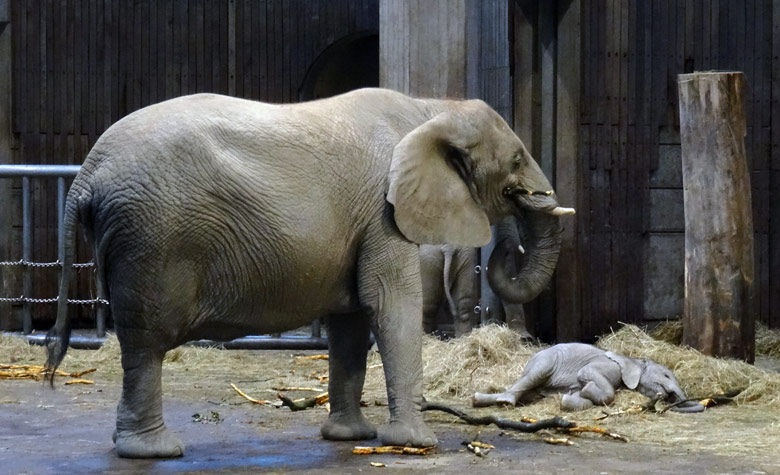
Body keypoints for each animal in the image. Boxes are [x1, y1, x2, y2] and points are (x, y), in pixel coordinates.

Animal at [44, 87, 572, 460]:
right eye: (517, 159)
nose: (509, 243)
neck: (432, 108)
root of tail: (84, 177)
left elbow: (352, 322)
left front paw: (348, 436)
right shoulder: (384, 214)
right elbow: (390, 306)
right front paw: (418, 444)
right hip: (150, 241)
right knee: (147, 345)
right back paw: (154, 452)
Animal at [472, 342, 704, 412]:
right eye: (665, 374)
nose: (667, 397)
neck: (634, 360)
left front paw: (567, 400)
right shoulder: (609, 368)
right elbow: (589, 376)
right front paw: (585, 389)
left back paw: (480, 400)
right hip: (546, 360)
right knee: (532, 378)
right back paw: (505, 401)